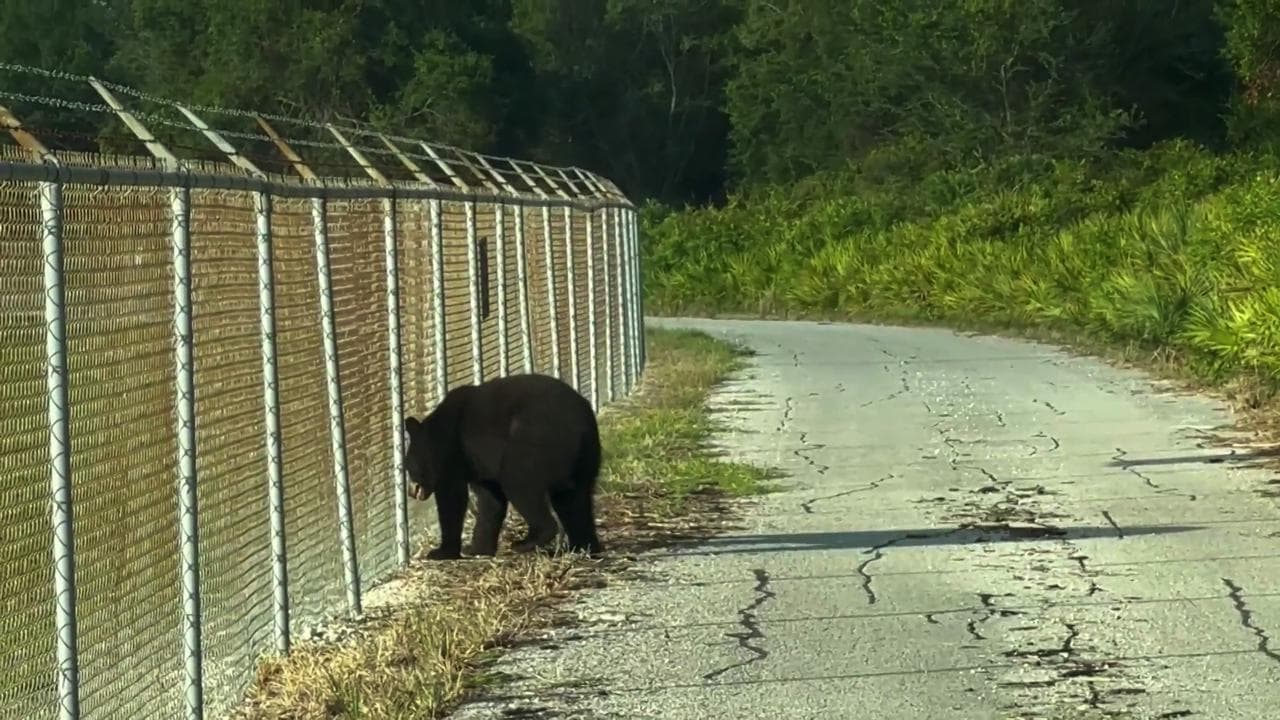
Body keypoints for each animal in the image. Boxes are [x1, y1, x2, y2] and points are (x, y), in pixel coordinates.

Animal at [402, 372, 603, 560]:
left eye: (408, 466)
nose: (411, 491)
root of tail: (580, 423)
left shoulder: (453, 452)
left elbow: (452, 497)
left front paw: (441, 551)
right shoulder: (480, 467)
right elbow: (491, 501)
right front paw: (478, 549)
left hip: (532, 440)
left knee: (519, 483)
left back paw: (526, 542)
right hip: (585, 457)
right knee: (574, 500)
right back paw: (583, 548)